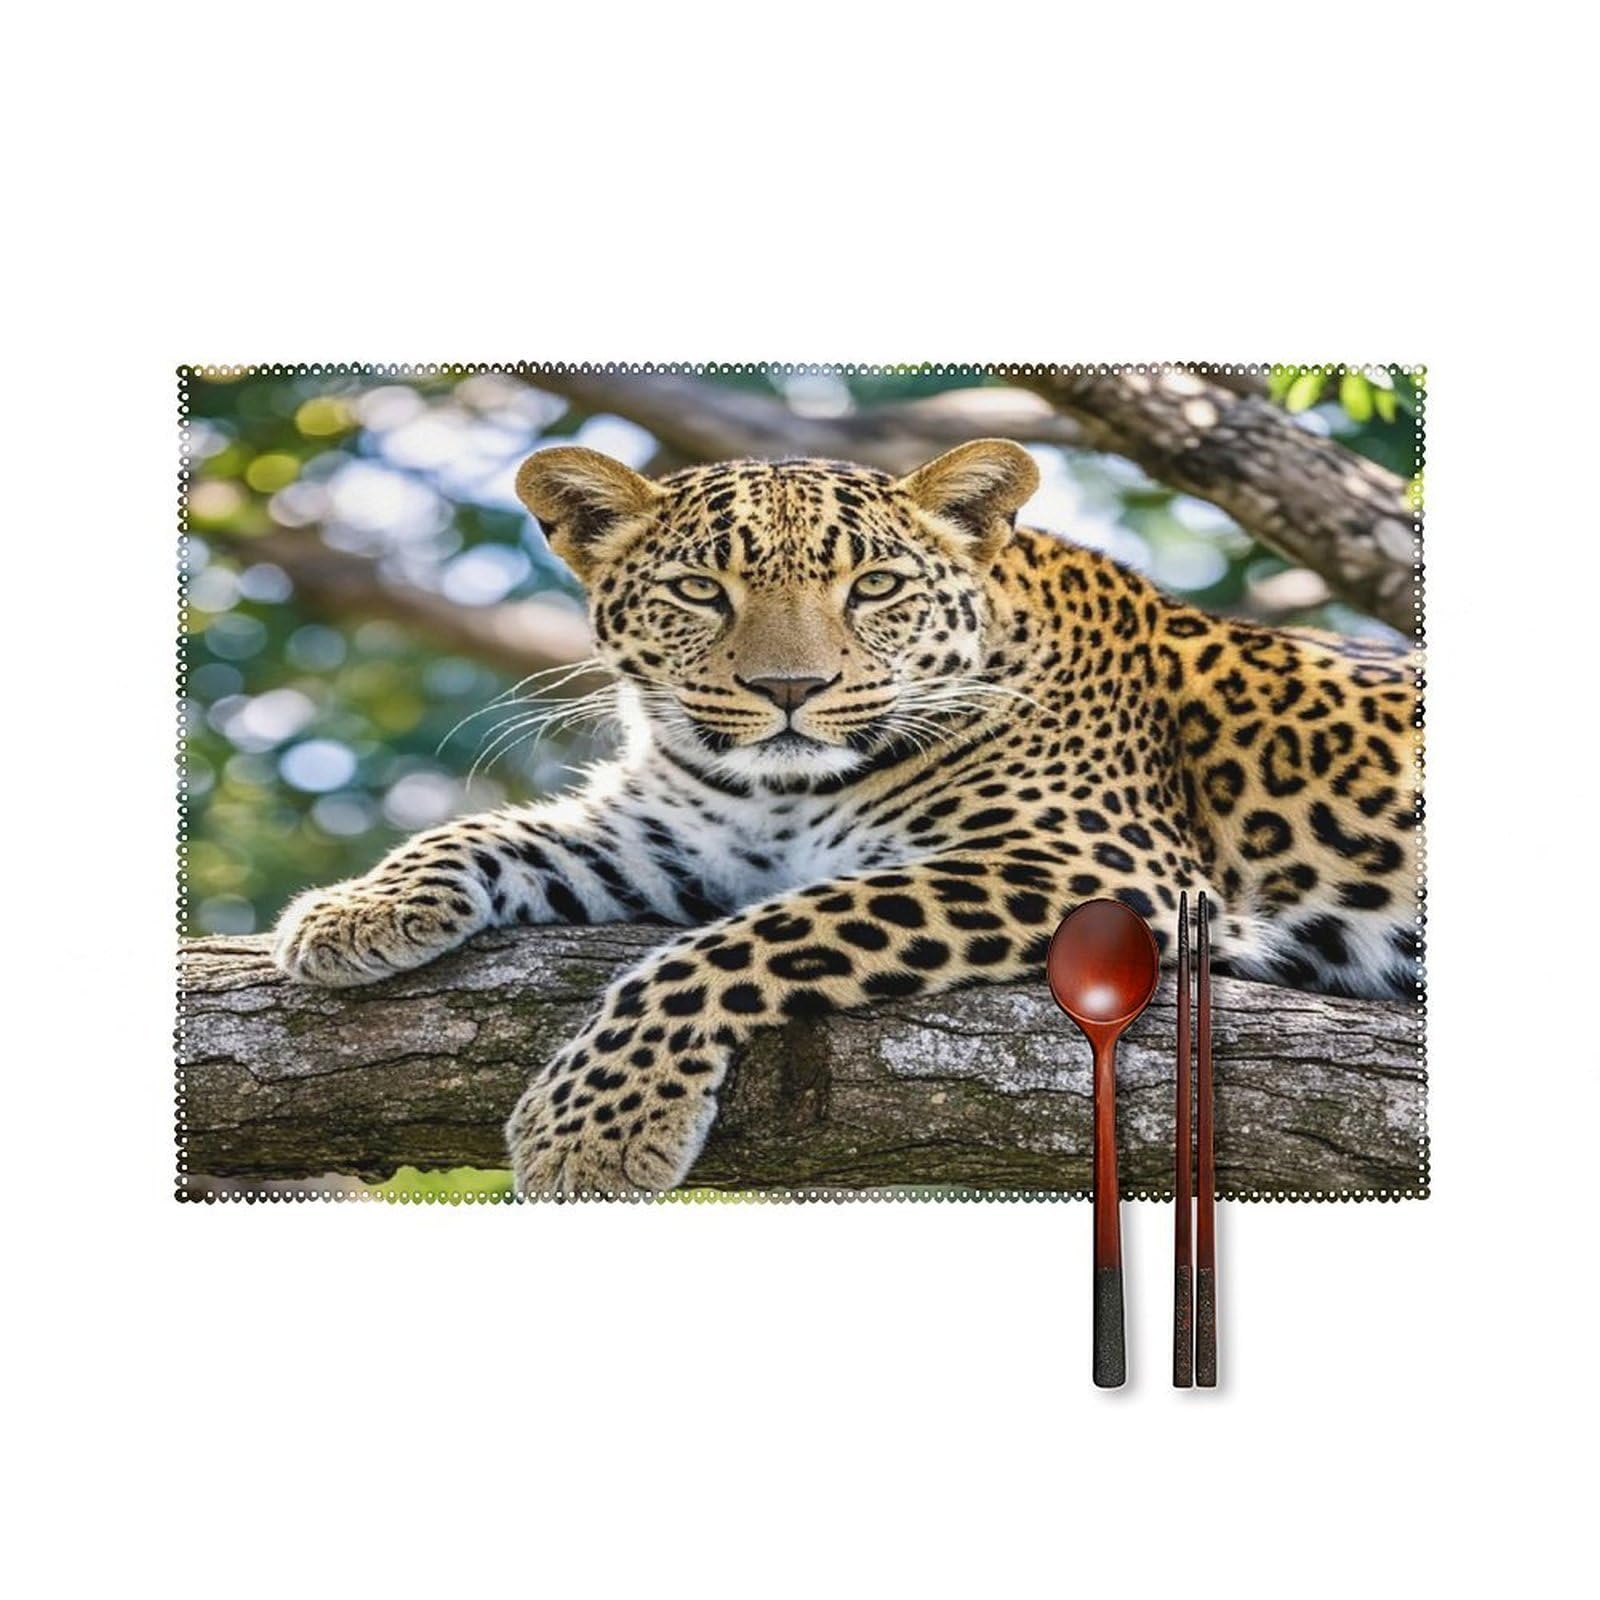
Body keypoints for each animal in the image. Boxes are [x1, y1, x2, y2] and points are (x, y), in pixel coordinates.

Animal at [272, 438, 1420, 1197]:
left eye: (873, 587)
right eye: (700, 590)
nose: (790, 688)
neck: (782, 792)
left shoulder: (1089, 865)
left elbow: (734, 943)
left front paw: (595, 1126)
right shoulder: (671, 840)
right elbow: (486, 832)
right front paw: (350, 911)